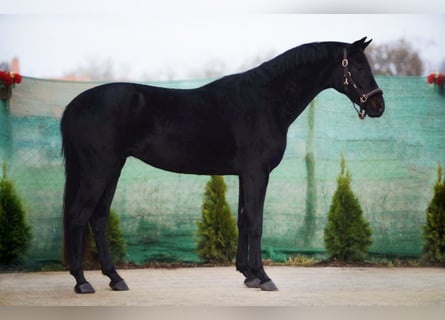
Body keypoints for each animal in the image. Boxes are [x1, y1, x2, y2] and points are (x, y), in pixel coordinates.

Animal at [60, 37, 384, 292]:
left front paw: (248, 275)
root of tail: (74, 105)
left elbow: (243, 220)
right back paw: (82, 282)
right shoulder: (256, 173)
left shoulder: (244, 174)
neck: (265, 100)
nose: (378, 106)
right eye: (358, 67)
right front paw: (264, 277)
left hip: (112, 169)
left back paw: (115, 278)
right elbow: (255, 223)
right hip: (98, 170)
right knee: (79, 215)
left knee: (98, 218)